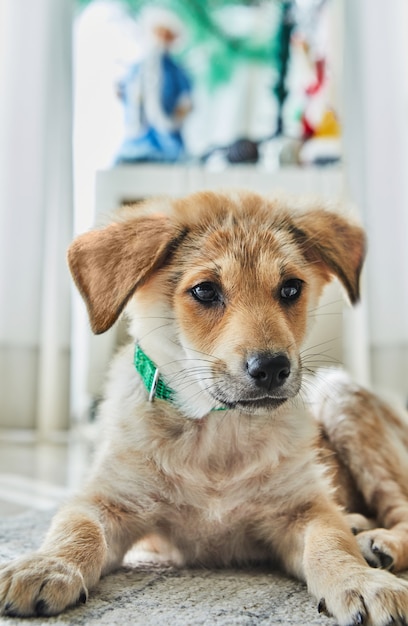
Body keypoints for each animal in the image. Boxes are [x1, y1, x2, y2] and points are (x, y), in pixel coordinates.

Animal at [0, 190, 408, 624]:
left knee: (400, 508)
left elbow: (331, 543)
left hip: (343, 399)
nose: (272, 368)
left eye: (291, 289)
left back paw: (378, 542)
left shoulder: (304, 510)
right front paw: (48, 565)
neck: (216, 428)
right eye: (205, 291)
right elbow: (77, 528)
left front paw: (361, 581)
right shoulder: (109, 502)